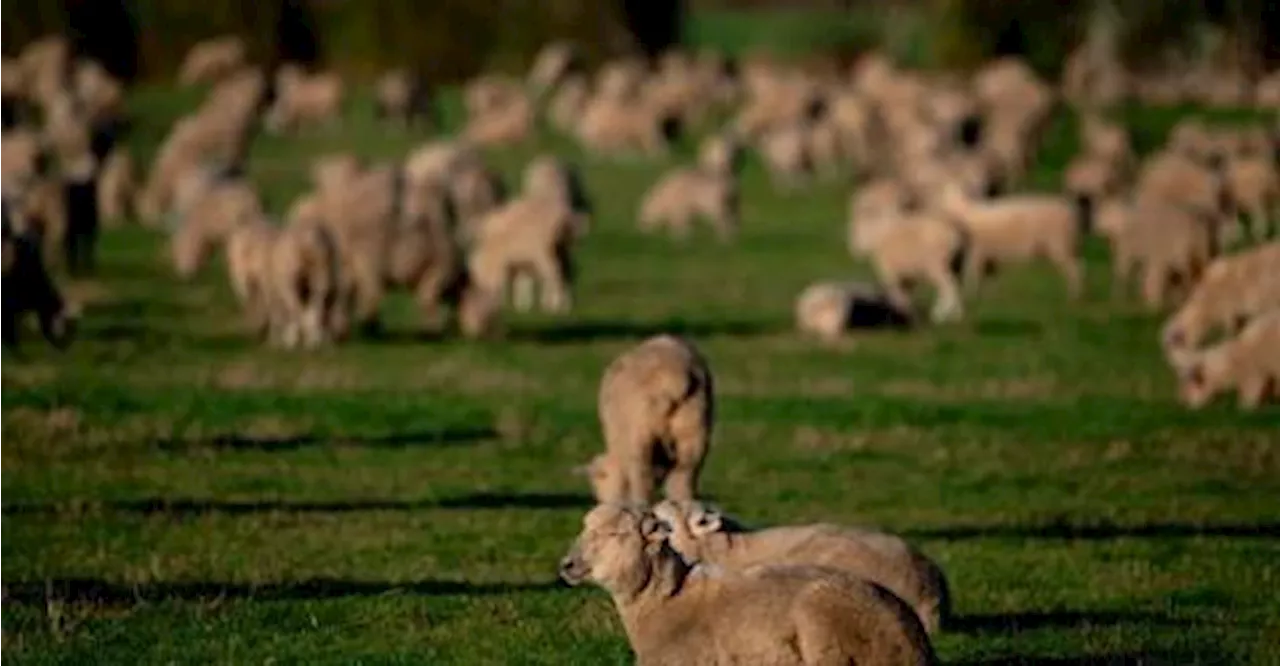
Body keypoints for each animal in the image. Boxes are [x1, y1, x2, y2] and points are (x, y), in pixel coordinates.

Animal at [586, 333, 716, 504]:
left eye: (598, 484)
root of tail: (672, 376)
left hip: (641, 433)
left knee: (642, 477)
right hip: (694, 426)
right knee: (683, 475)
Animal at [936, 181, 1085, 297]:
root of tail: (1069, 212)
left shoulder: (977, 251)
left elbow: (970, 273)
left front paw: (971, 296)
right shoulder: (987, 253)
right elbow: (987, 275)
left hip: (1058, 244)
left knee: (1076, 270)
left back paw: (1072, 298)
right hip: (1065, 246)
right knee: (1079, 267)